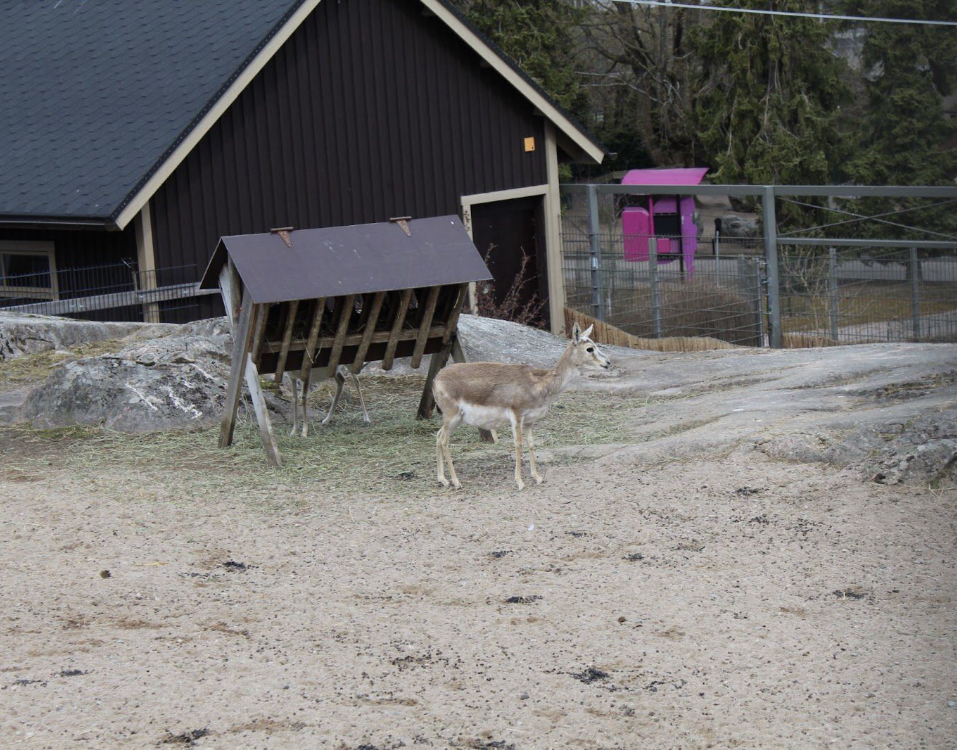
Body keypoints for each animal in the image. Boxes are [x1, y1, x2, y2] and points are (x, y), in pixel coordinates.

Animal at [433, 322, 611, 490]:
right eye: (589, 348)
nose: (608, 362)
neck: (538, 384)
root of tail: (436, 378)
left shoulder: (530, 421)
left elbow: (531, 444)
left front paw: (537, 477)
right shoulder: (516, 415)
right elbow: (518, 444)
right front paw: (520, 482)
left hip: (456, 419)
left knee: (438, 436)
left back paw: (443, 479)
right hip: (452, 416)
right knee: (444, 440)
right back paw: (456, 482)